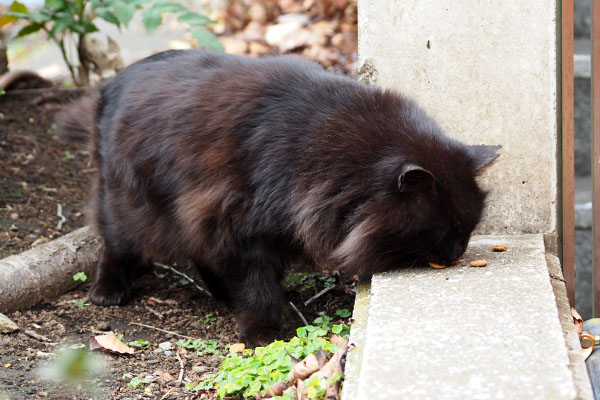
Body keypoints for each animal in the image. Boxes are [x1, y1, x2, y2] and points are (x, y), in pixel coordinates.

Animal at [57, 49, 496, 344]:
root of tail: (111, 84)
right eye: (442, 228)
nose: (457, 251)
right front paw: (262, 331)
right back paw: (108, 291)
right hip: (127, 202)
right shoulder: (232, 222)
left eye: (468, 227)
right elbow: (256, 287)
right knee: (117, 244)